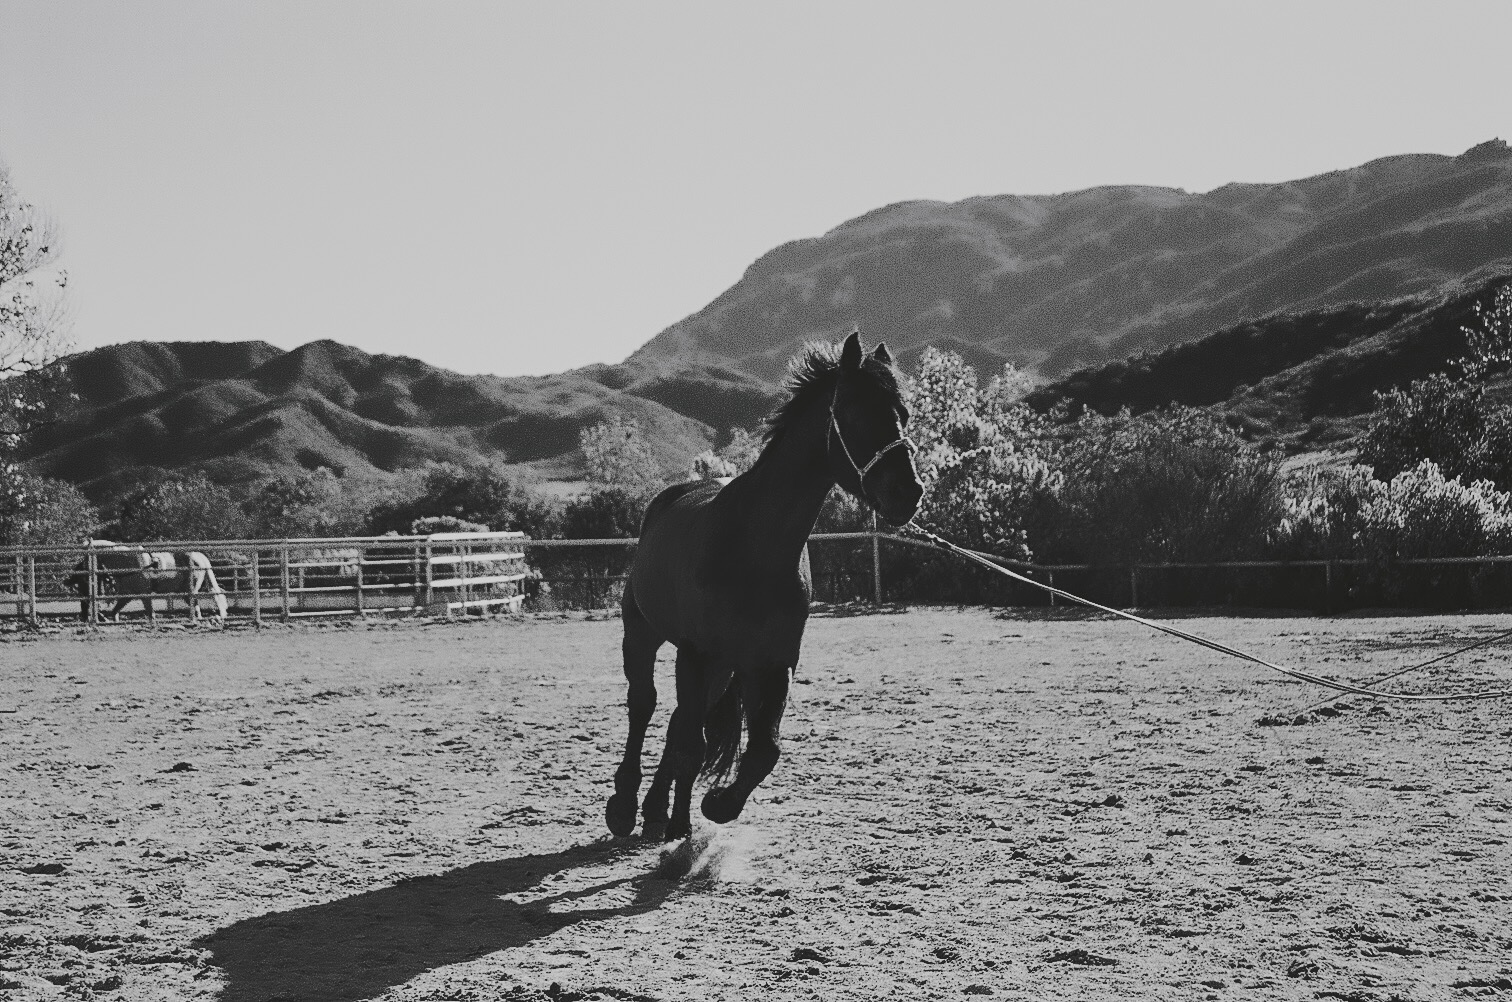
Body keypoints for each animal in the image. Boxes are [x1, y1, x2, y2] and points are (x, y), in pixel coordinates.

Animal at [72, 541, 229, 622]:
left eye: (87, 559)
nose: (79, 570)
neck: (128, 562)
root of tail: (200, 557)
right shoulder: (126, 595)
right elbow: (115, 611)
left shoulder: (144, 595)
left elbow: (150, 612)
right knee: (196, 605)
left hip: (189, 590)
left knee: (194, 604)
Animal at [607, 330, 924, 841]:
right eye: (854, 410)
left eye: (904, 413)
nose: (908, 492)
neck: (753, 548)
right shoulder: (695, 653)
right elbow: (691, 744)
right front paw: (683, 824)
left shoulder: (772, 664)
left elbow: (762, 750)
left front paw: (717, 804)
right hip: (644, 635)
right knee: (645, 707)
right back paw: (624, 805)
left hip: (720, 669)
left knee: (678, 722)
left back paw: (655, 811)